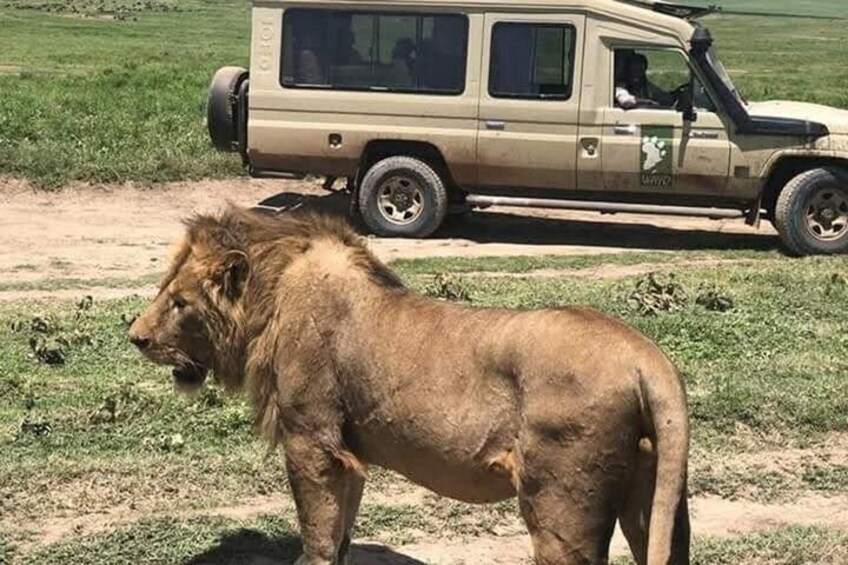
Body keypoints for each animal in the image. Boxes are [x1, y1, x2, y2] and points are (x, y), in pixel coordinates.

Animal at [128, 206, 690, 565]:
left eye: (178, 302)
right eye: (167, 292)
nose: (136, 338)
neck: (272, 298)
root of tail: (648, 359)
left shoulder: (312, 440)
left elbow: (316, 532)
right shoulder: (349, 450)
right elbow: (342, 530)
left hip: (561, 504)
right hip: (653, 494)